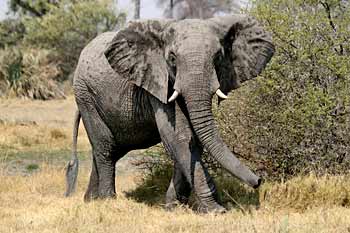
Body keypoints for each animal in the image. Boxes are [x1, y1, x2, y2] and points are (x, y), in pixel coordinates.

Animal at [64, 14, 274, 213]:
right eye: (172, 58)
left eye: (217, 57)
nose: (259, 181)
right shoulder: (156, 79)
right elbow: (179, 135)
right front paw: (215, 210)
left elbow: (194, 138)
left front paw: (174, 206)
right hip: (85, 95)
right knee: (106, 148)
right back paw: (108, 201)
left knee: (109, 149)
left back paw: (91, 200)